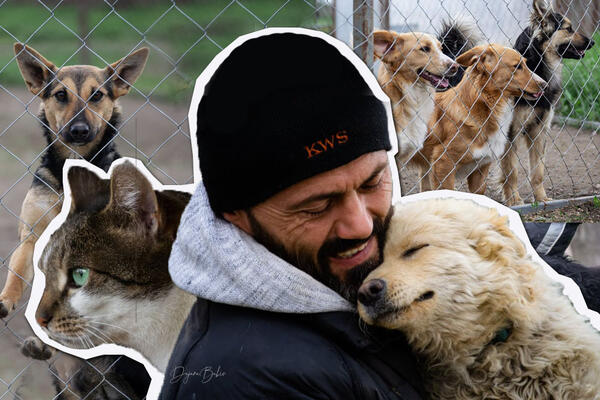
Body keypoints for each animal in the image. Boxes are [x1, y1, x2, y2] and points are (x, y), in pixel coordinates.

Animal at [0, 44, 148, 318]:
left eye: (97, 95)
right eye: (60, 94)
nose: (79, 130)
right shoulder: (32, 235)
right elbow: (17, 272)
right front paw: (5, 299)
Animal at [500, 0, 595, 205]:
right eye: (568, 29)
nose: (593, 42)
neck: (536, 64)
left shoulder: (539, 129)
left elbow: (538, 171)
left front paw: (542, 199)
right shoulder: (510, 132)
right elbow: (511, 171)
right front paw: (514, 201)